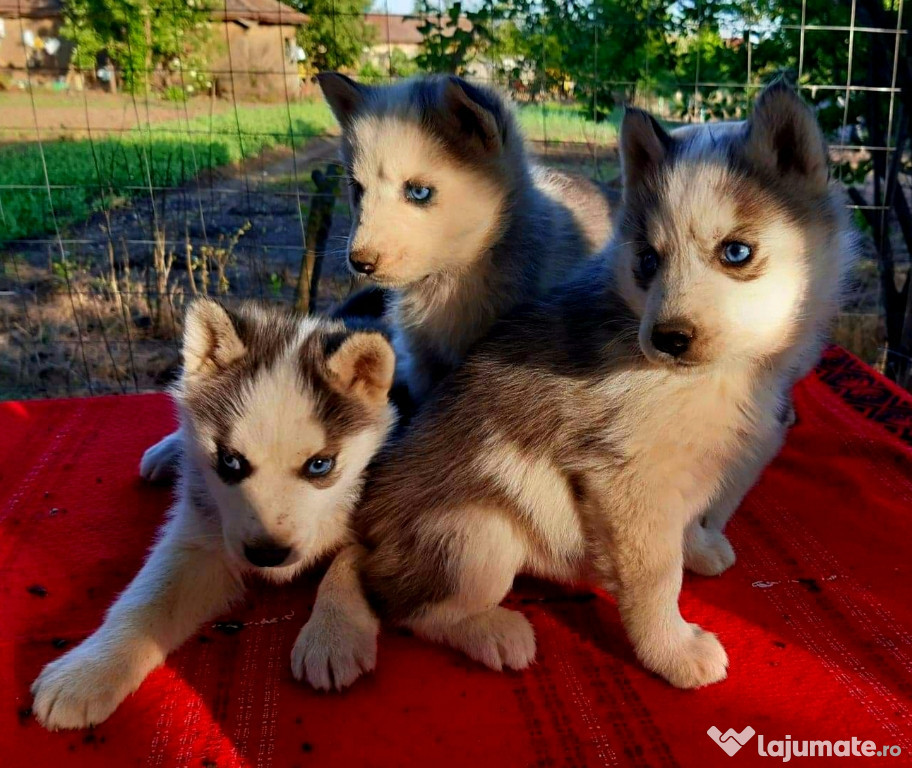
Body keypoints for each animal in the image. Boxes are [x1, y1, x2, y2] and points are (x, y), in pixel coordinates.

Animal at [31, 298, 396, 728]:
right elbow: (147, 602)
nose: (267, 555)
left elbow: (349, 556)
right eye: (230, 461)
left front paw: (333, 633)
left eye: (320, 465)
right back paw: (168, 451)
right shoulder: (200, 537)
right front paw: (87, 671)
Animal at [298, 84, 856, 688]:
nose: (667, 339)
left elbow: (687, 523)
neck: (725, 375)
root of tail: (368, 524)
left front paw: (700, 548)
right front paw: (674, 652)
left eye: (736, 251)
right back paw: (496, 632)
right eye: (647, 260)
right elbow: (656, 581)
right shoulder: (626, 484)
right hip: (478, 533)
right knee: (410, 605)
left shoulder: (691, 471)